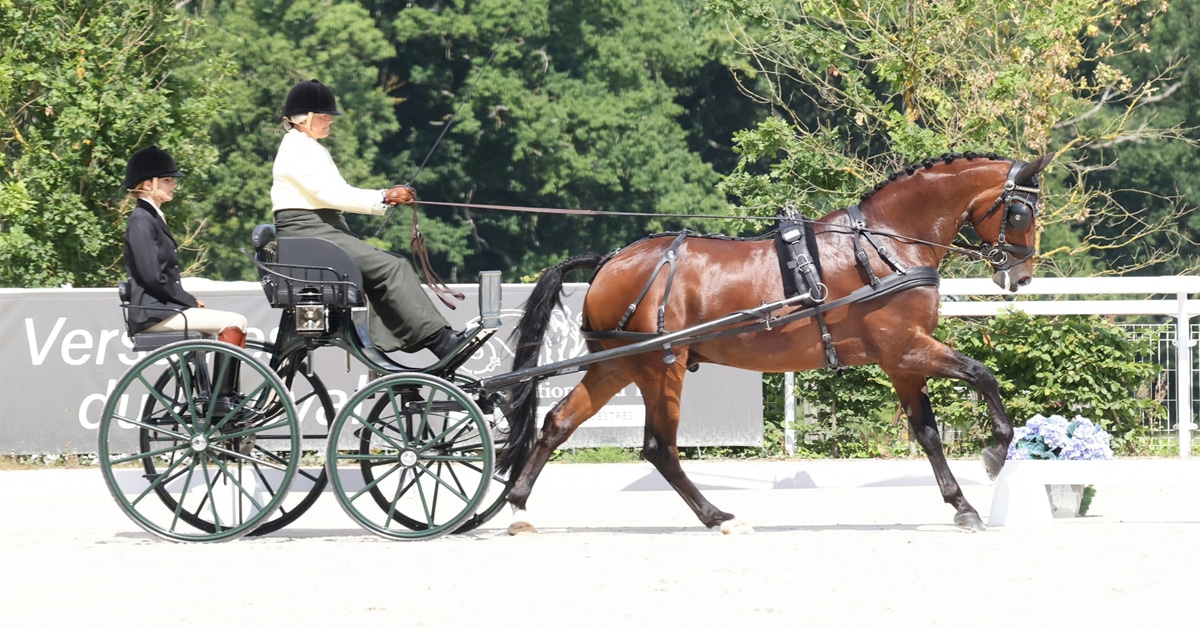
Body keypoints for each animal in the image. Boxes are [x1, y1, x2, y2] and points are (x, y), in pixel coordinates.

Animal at [498, 152, 1054, 534]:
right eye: (1021, 214)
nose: (1021, 276)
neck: (884, 244)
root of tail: (612, 260)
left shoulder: (901, 362)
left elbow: (928, 433)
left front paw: (962, 505)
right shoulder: (908, 348)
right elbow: (983, 375)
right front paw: (995, 453)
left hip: (616, 365)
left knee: (558, 422)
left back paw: (517, 505)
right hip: (661, 366)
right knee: (659, 448)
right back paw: (717, 516)